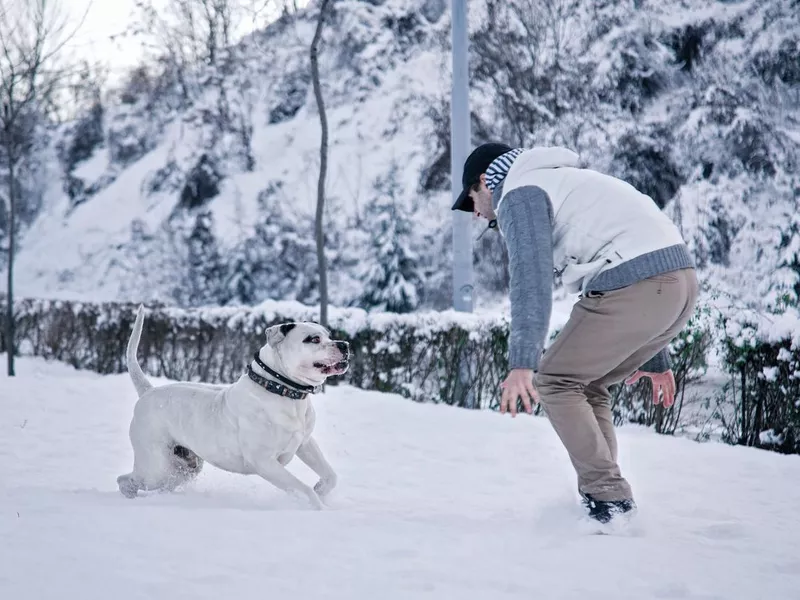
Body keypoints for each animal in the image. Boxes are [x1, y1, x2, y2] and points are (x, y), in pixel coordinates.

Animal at [116, 304, 350, 506]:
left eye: (328, 334)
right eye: (313, 339)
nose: (344, 344)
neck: (282, 390)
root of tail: (148, 391)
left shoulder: (305, 444)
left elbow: (331, 475)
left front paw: (321, 489)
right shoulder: (264, 462)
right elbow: (303, 489)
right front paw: (318, 507)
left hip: (181, 468)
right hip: (156, 468)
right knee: (125, 480)